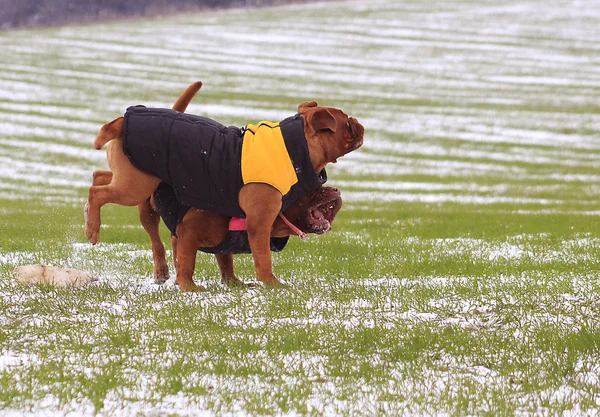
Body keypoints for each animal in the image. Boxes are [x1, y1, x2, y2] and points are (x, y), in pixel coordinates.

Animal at [86, 81, 364, 290]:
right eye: (347, 124)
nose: (360, 123)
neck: (296, 147)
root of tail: (122, 121)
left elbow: (225, 259)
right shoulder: (260, 221)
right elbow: (262, 258)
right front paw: (270, 283)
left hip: (134, 179)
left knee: (100, 176)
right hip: (136, 187)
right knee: (99, 194)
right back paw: (93, 228)